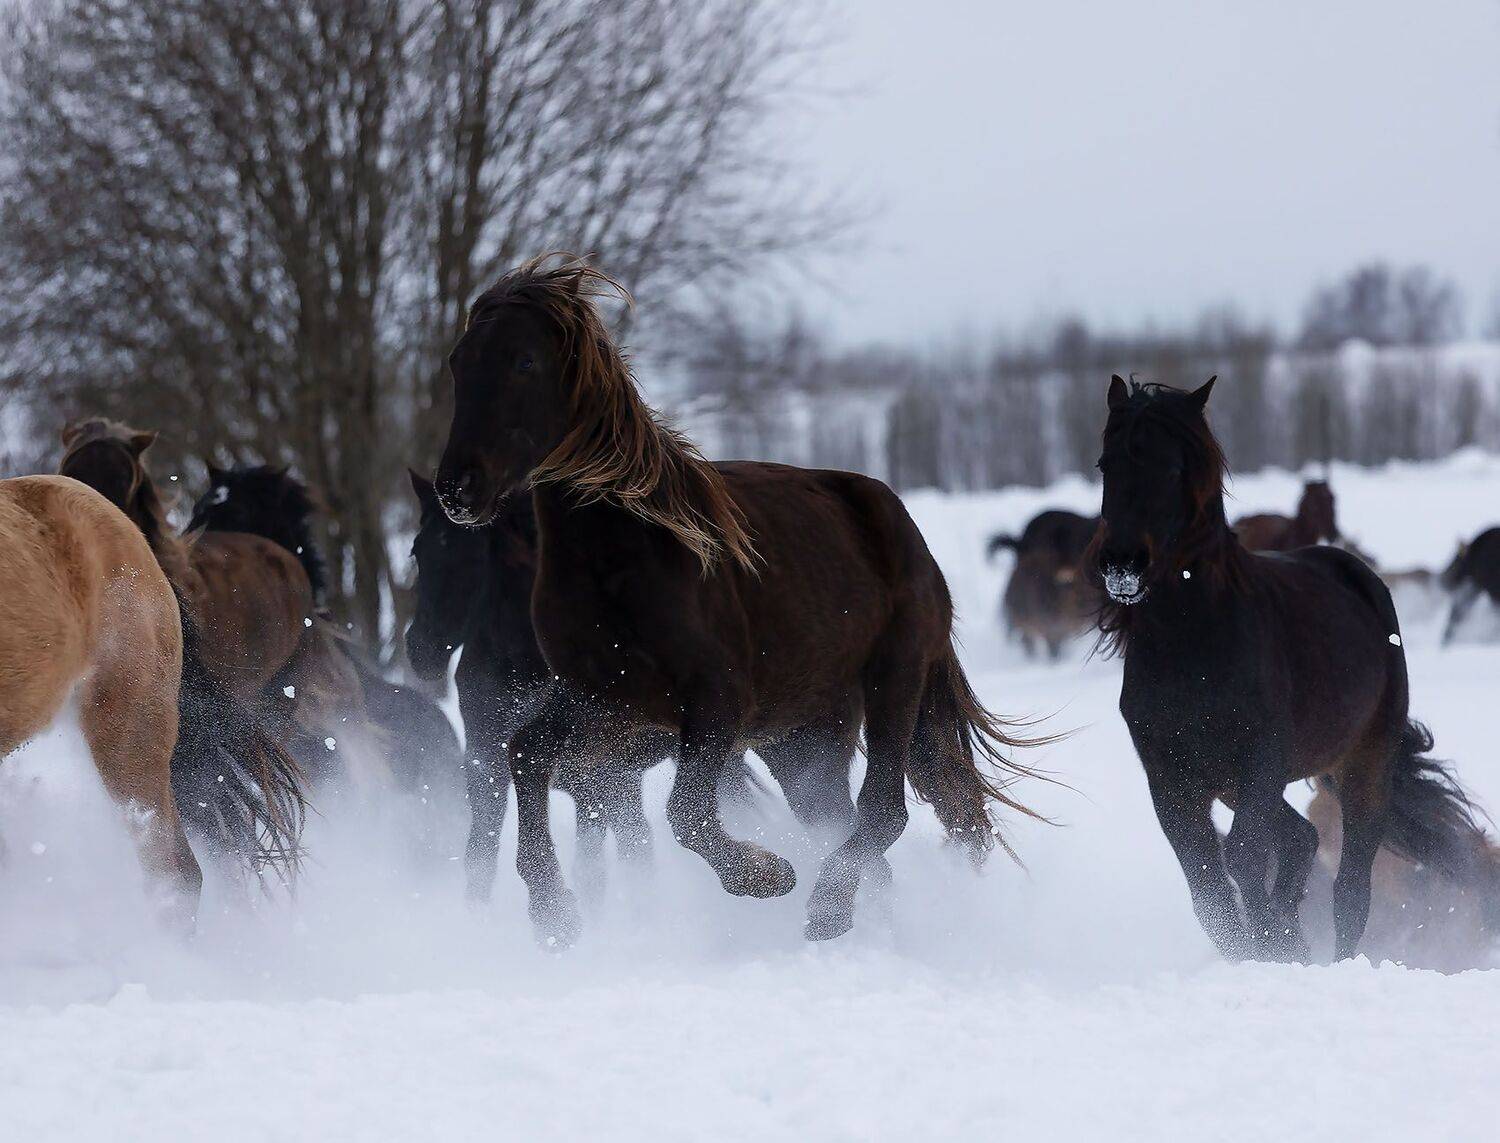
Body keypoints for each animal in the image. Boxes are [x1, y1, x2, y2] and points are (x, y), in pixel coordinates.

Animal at [405, 472, 821, 906]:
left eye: (473, 557)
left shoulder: (601, 783)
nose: (420, 649)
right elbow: (483, 859)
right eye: (418, 551)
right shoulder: (489, 766)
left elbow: (608, 867)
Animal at [1092, 375, 1497, 961]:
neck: (1193, 648)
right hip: (1240, 784)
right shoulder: (1171, 778)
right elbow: (1208, 886)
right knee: (1300, 840)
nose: (1122, 565)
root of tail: (1355, 573)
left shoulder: (1260, 764)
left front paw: (1274, 944)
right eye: (1106, 464)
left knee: (1350, 886)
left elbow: (1241, 858)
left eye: (1171, 468)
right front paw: (1267, 945)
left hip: (1360, 768)